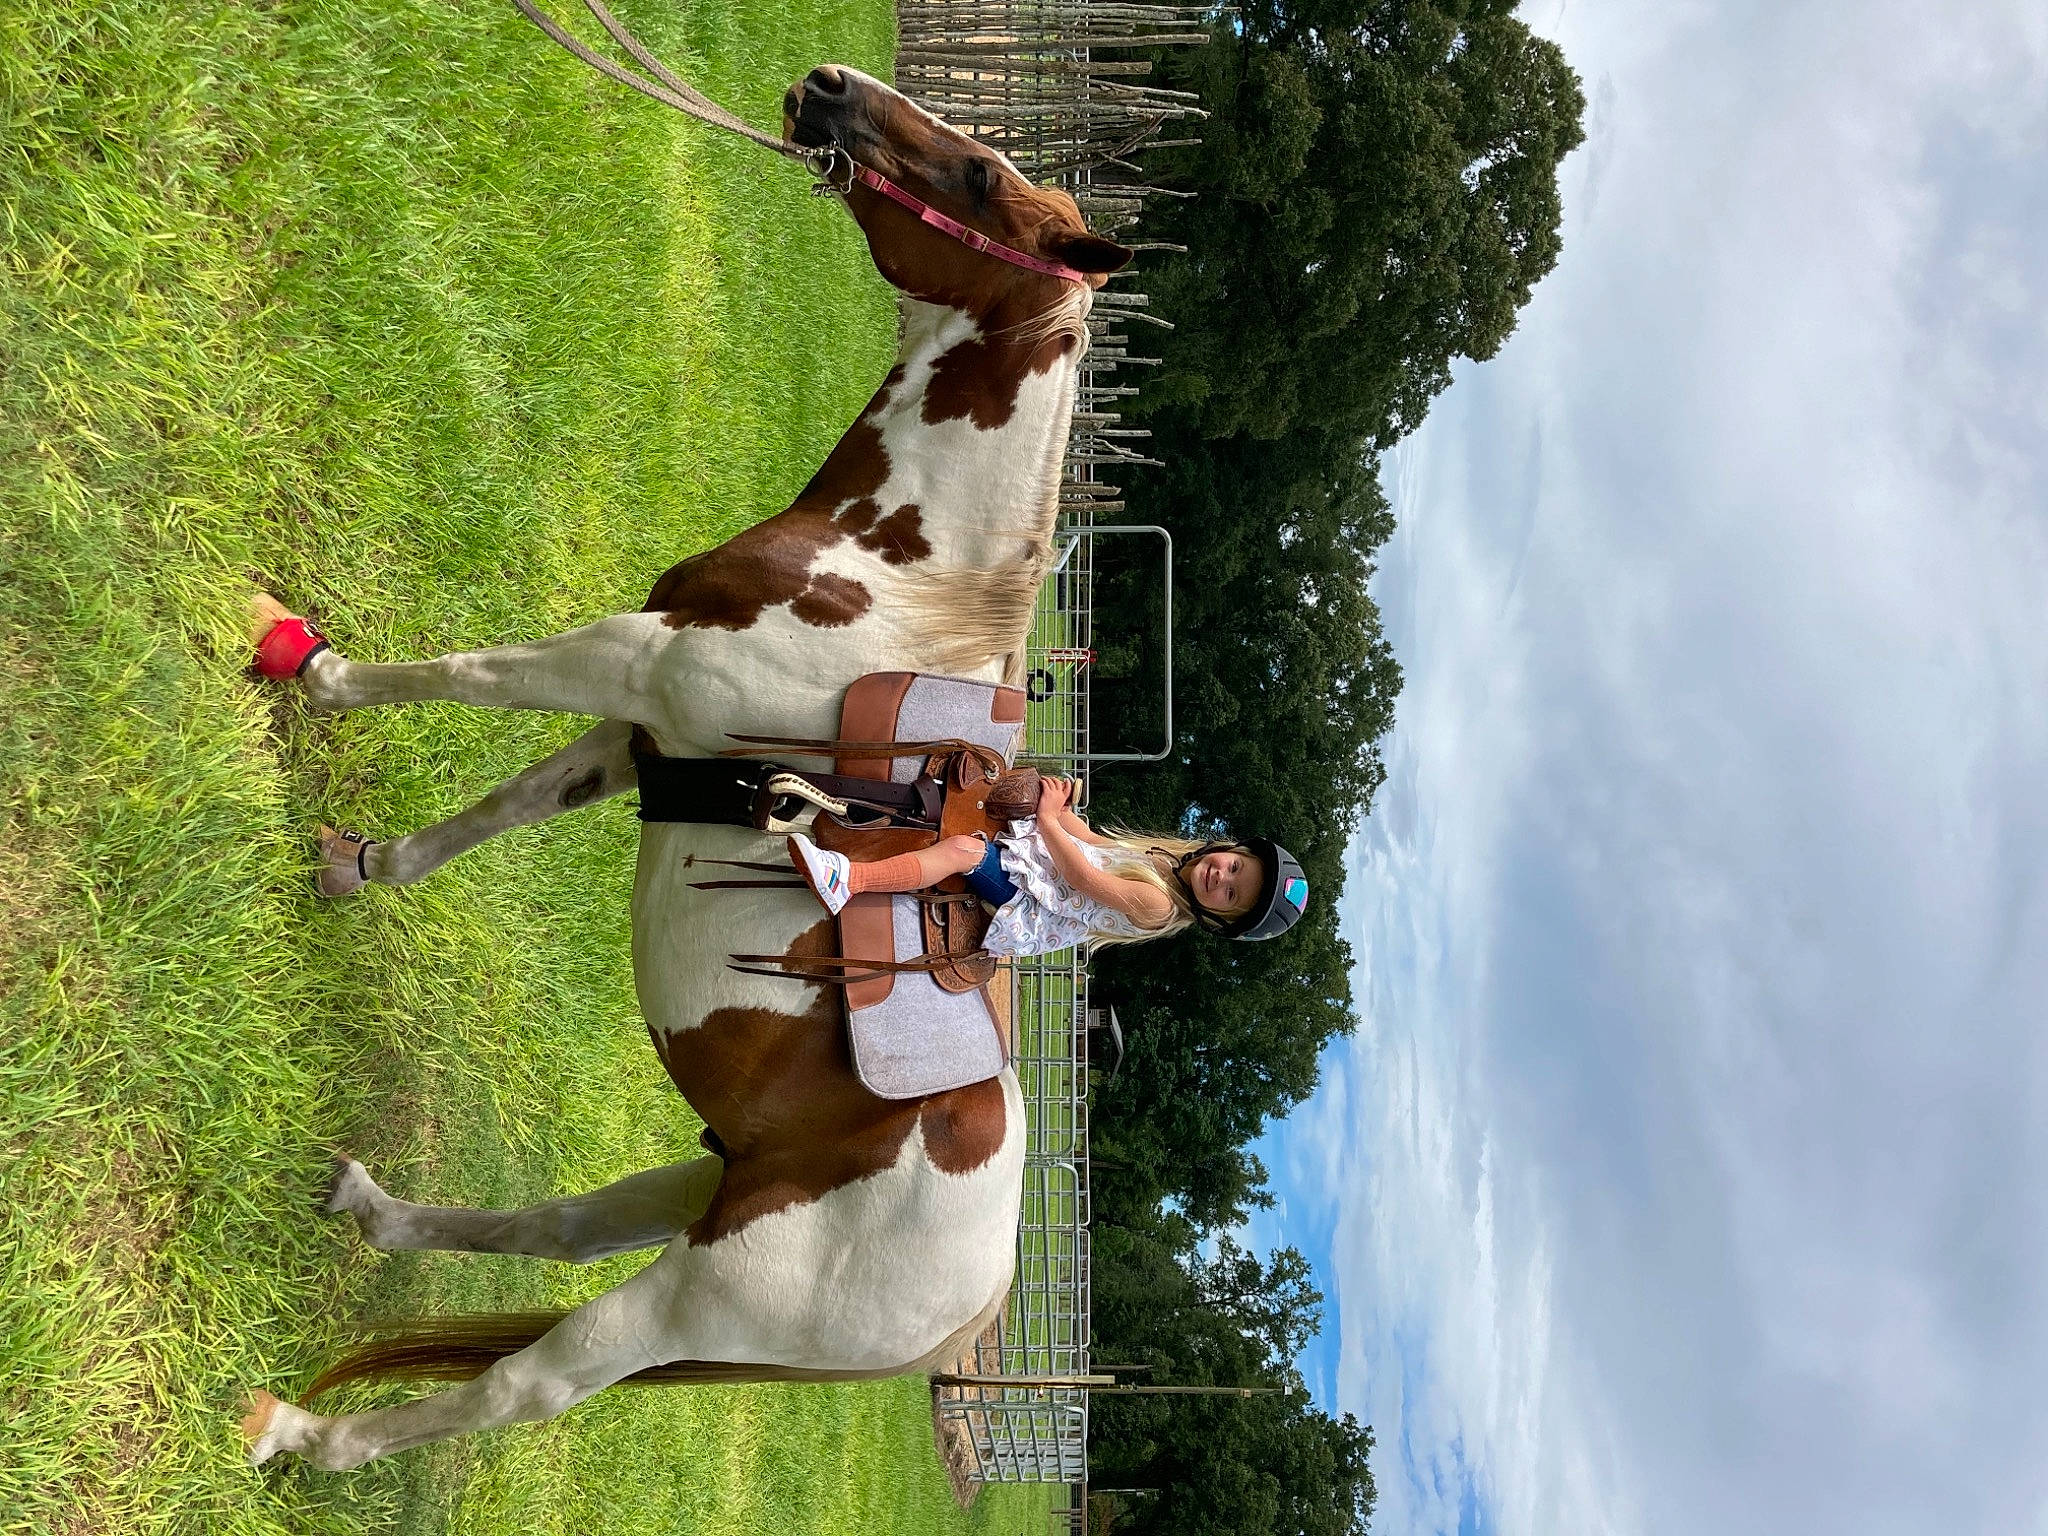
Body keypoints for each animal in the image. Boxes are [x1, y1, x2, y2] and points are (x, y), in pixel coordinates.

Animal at [239, 62, 1132, 1470]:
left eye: (979, 174)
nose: (826, 85)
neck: (898, 581)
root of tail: (968, 1309)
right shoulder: (644, 734)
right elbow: (503, 808)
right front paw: (361, 868)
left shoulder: (627, 662)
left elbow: (464, 675)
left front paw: (310, 668)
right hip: (706, 1181)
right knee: (554, 1230)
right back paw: (370, 1208)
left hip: (697, 1292)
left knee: (524, 1387)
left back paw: (306, 1439)